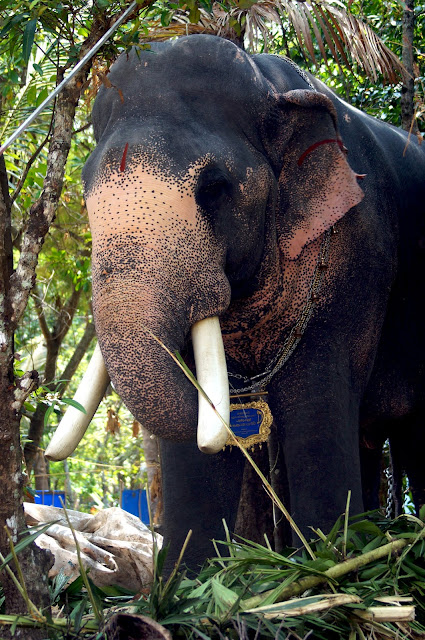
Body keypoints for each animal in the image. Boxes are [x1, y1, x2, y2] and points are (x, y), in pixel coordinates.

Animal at [45, 33, 424, 576]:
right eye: (84, 197)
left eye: (215, 188)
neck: (272, 85)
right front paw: (188, 584)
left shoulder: (359, 252)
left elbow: (318, 403)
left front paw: (327, 566)